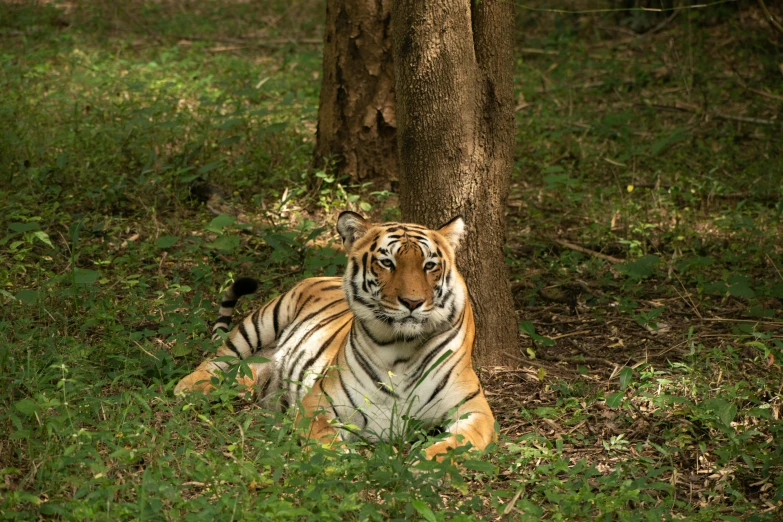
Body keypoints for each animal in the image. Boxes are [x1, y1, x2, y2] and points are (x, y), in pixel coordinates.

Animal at [176, 209, 496, 458]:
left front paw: (424, 466)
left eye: (429, 265)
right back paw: (190, 387)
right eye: (387, 263)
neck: (401, 350)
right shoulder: (318, 403)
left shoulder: (474, 408)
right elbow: (328, 445)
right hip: (267, 316)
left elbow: (458, 444)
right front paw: (349, 461)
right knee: (220, 357)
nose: (413, 302)